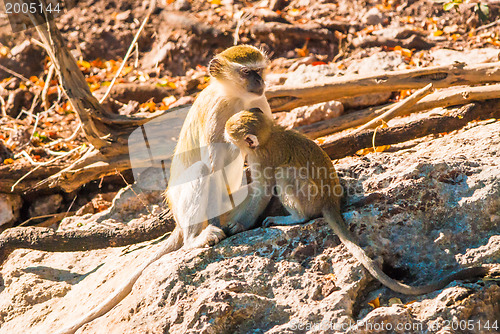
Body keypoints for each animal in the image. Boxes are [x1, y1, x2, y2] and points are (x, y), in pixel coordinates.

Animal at [58, 45, 274, 334]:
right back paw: (195, 238)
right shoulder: (217, 112)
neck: (235, 98)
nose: (260, 82)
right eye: (247, 72)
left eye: (259, 70)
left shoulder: (262, 104)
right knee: (202, 171)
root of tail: (178, 223)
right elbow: (214, 165)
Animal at [225, 109, 490, 294]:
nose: (224, 137)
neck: (269, 133)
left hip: (306, 195)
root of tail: (330, 202)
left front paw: (239, 226)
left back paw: (294, 218)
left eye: (230, 135)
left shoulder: (261, 158)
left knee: (287, 177)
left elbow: (262, 190)